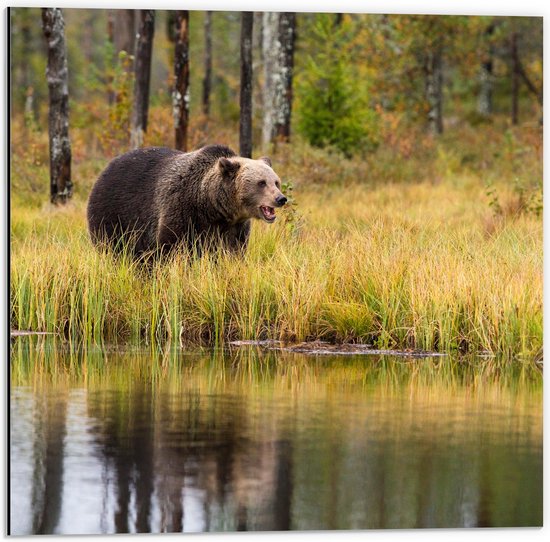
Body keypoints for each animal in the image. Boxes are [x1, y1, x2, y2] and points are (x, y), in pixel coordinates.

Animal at [86, 142, 288, 258]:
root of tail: (106, 167)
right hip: (114, 213)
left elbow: (233, 252)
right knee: (112, 246)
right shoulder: (182, 210)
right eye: (261, 183)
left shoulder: (234, 228)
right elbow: (171, 246)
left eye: (276, 181)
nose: (281, 198)